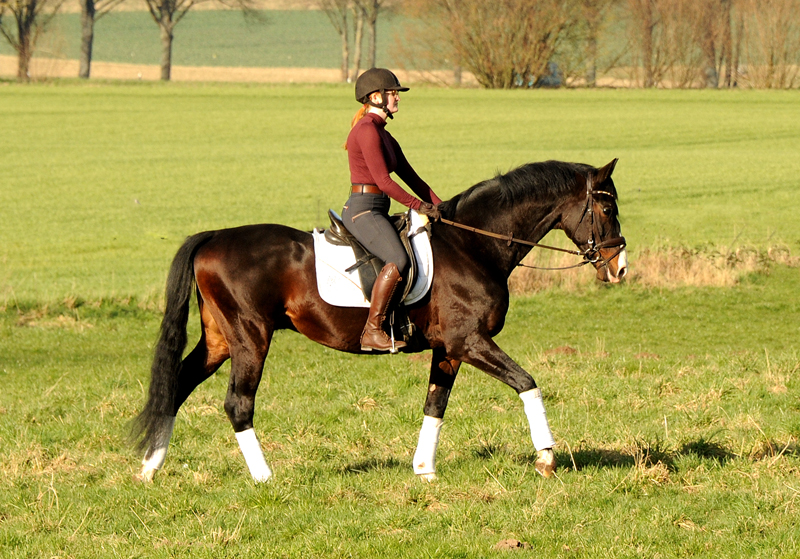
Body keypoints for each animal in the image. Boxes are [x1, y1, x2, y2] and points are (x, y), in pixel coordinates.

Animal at [133, 159, 624, 486]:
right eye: (607, 209)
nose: (619, 269)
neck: (472, 245)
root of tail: (213, 237)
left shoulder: (448, 349)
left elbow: (435, 405)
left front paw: (424, 470)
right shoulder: (470, 341)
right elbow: (527, 383)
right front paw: (546, 458)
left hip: (220, 340)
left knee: (177, 385)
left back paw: (148, 469)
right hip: (250, 337)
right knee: (238, 403)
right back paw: (265, 477)